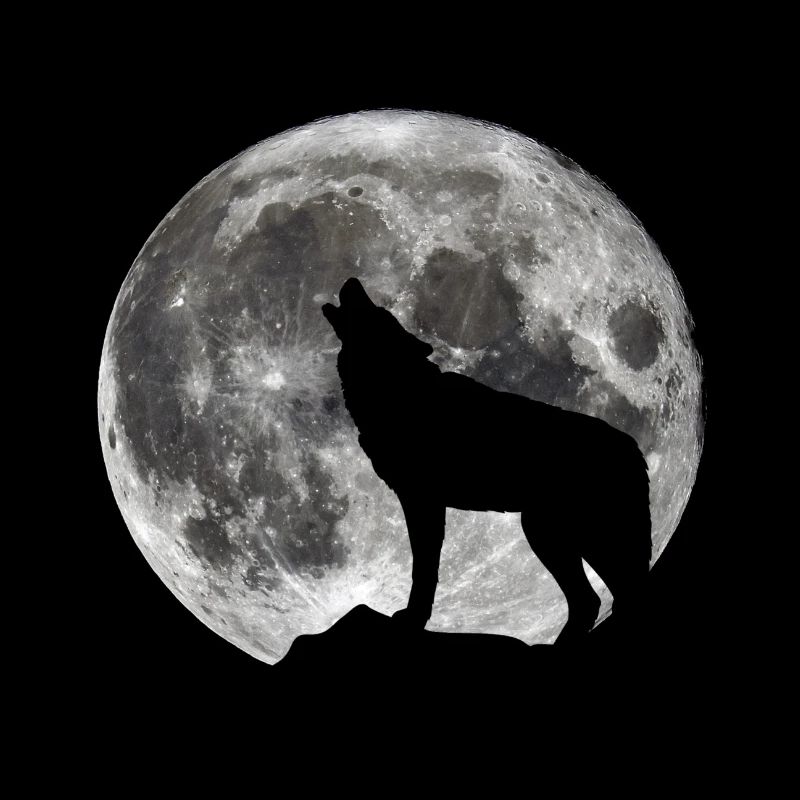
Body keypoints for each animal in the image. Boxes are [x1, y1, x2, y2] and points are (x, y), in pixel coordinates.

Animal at [322, 278, 651, 644]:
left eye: (378, 313)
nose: (353, 281)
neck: (401, 391)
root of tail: (632, 445)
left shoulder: (423, 502)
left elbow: (424, 570)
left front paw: (413, 619)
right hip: (551, 533)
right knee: (593, 599)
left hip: (576, 535)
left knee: (620, 596)